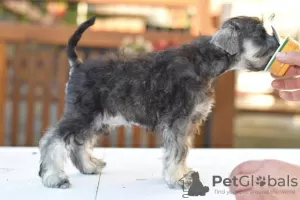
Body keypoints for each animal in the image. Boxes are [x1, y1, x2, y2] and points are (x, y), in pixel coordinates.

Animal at [37, 16, 278, 189]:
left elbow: (183, 150)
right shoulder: (178, 122)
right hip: (83, 114)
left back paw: (88, 167)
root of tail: (77, 65)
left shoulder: (187, 123)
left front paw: (183, 173)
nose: (277, 44)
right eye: (260, 34)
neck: (205, 62)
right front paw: (178, 179)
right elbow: (177, 151)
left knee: (78, 143)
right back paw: (54, 178)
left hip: (96, 119)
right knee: (52, 141)